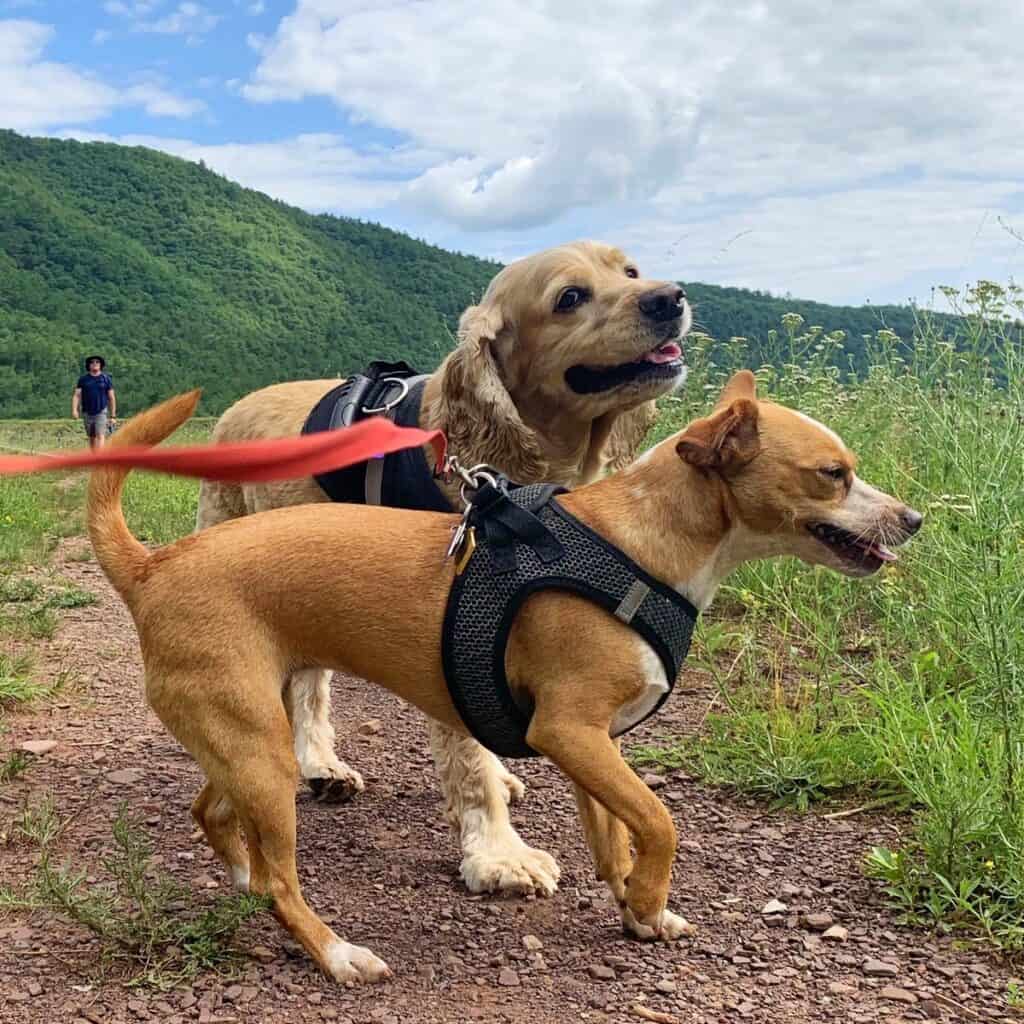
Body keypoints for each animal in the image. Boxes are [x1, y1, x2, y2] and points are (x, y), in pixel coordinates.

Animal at [88, 370, 921, 983]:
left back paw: (240, 873)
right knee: (282, 885)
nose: (914, 518)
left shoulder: (596, 747)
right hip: (261, 755)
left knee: (214, 817)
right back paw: (338, 953)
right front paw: (652, 896)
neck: (639, 545)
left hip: (240, 740)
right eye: (833, 475)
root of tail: (154, 567)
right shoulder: (569, 731)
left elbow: (614, 834)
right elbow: (660, 821)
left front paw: (635, 905)